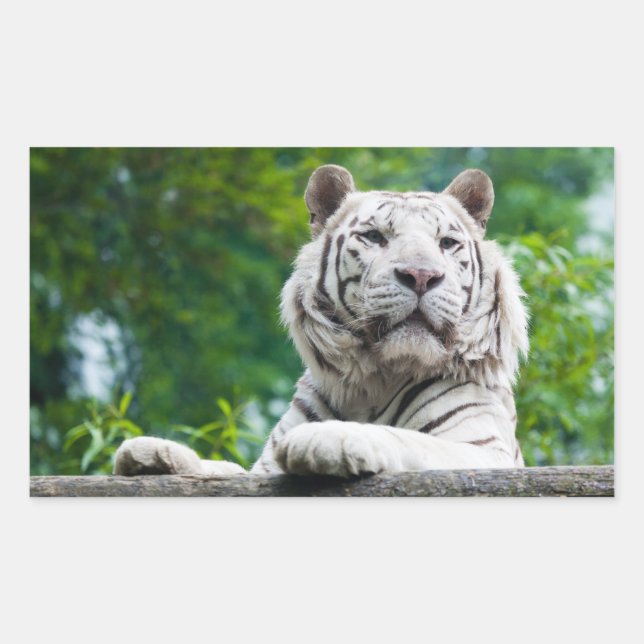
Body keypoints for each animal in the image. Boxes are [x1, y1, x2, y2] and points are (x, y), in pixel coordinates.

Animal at [113, 164, 529, 478]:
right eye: (374, 236)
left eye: (446, 243)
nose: (421, 276)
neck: (374, 380)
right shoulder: (262, 469)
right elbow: (225, 467)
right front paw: (151, 452)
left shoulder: (482, 450)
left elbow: (406, 438)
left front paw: (327, 439)